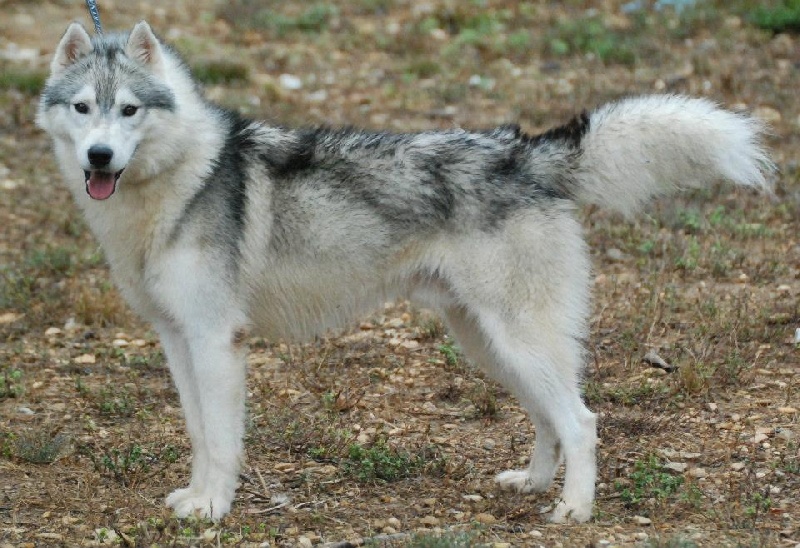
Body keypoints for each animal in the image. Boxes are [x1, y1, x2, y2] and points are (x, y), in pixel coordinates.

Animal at [36, 20, 772, 523]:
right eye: (83, 108)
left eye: (129, 110)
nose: (99, 157)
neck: (180, 181)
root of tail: (523, 152)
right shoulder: (178, 341)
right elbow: (197, 432)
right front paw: (196, 497)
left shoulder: (218, 343)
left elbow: (221, 439)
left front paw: (215, 509)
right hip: (489, 344)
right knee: (549, 419)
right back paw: (535, 484)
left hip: (517, 341)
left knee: (583, 421)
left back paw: (573, 510)